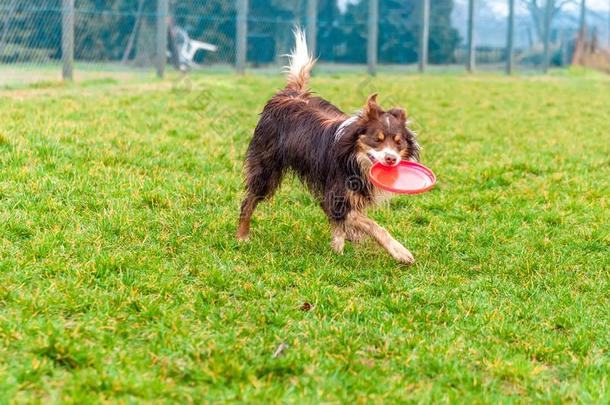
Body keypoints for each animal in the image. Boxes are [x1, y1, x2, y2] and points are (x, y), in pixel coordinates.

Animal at [236, 28, 418, 262]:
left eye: (398, 142)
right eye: (376, 140)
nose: (391, 159)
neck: (355, 158)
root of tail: (290, 93)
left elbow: (350, 221)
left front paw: (342, 244)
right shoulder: (337, 192)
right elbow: (372, 225)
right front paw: (399, 251)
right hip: (266, 166)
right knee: (249, 200)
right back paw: (242, 236)